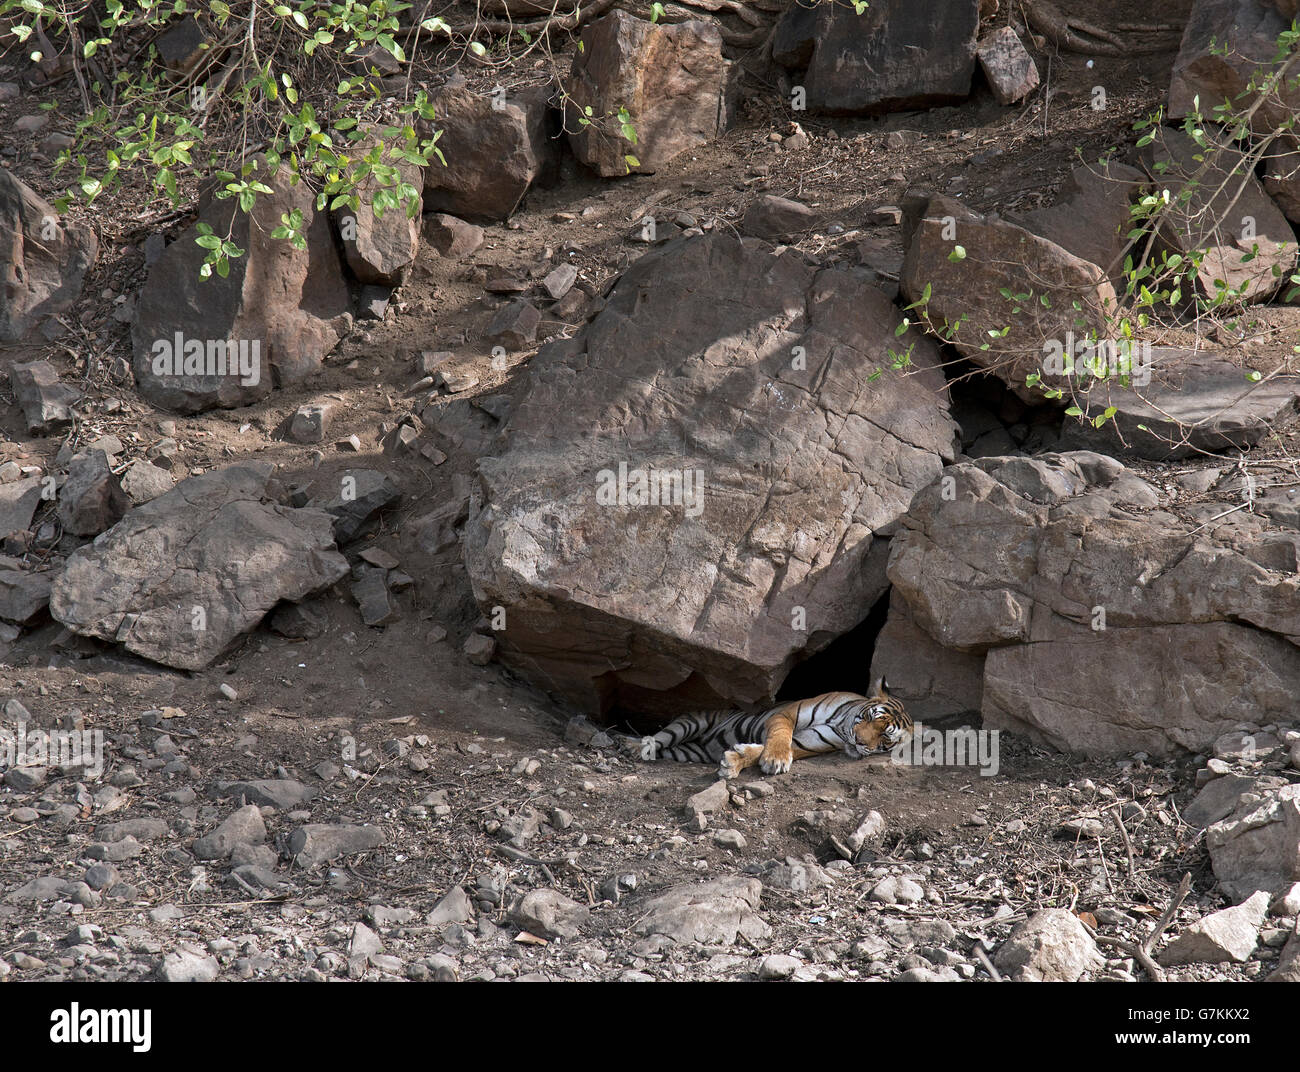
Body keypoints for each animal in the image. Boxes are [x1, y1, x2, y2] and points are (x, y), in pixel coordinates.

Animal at [633, 679, 912, 780]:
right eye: (870, 717)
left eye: (885, 738)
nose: (860, 742)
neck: (841, 726)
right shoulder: (786, 714)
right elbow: (779, 736)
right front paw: (776, 759)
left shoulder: (809, 742)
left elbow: (763, 750)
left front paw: (733, 761)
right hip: (693, 721)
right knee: (659, 738)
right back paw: (633, 747)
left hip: (689, 752)